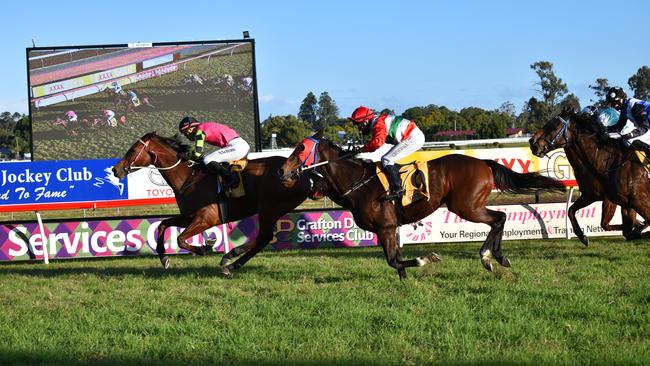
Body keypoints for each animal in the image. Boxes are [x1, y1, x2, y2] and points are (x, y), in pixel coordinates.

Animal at [114, 132, 316, 272]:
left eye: (132, 150)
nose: (116, 170)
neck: (188, 178)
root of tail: (302, 174)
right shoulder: (189, 216)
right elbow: (163, 225)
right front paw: (164, 259)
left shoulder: (206, 218)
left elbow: (180, 239)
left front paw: (205, 246)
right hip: (272, 210)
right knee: (262, 238)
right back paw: (231, 261)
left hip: (268, 208)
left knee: (264, 237)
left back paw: (230, 259)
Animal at [274, 133, 560, 278]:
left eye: (300, 149)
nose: (281, 171)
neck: (358, 183)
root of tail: (483, 162)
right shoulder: (387, 230)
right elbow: (396, 261)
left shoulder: (386, 227)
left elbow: (393, 260)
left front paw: (426, 258)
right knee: (499, 218)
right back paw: (495, 257)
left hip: (465, 206)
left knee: (499, 217)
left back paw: (489, 257)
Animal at [528, 109, 644, 246]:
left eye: (554, 127)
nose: (533, 143)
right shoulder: (590, 195)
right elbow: (571, 211)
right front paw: (582, 236)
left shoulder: (609, 198)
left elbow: (606, 224)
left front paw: (639, 227)